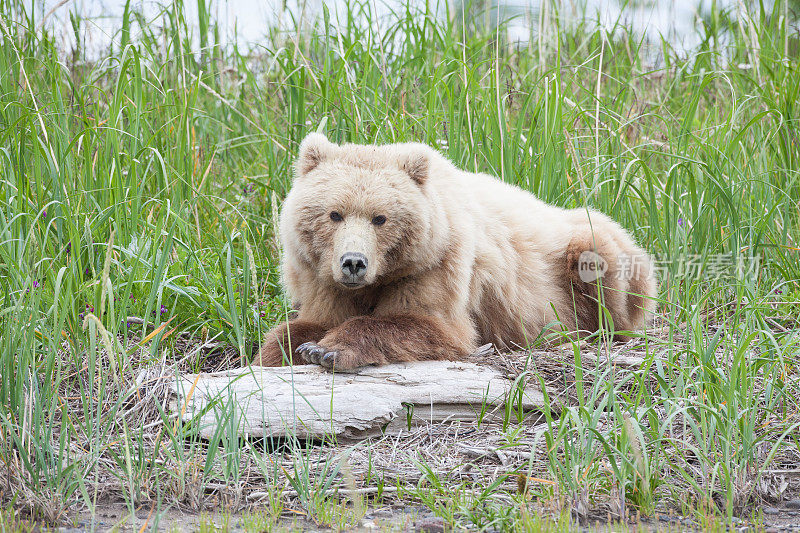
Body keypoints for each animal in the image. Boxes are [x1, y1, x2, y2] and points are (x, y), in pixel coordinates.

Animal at [256, 132, 656, 370]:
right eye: (334, 214)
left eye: (380, 218)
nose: (353, 263)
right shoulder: (320, 276)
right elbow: (304, 324)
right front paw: (293, 348)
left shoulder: (436, 266)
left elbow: (426, 323)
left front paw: (329, 350)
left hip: (586, 245)